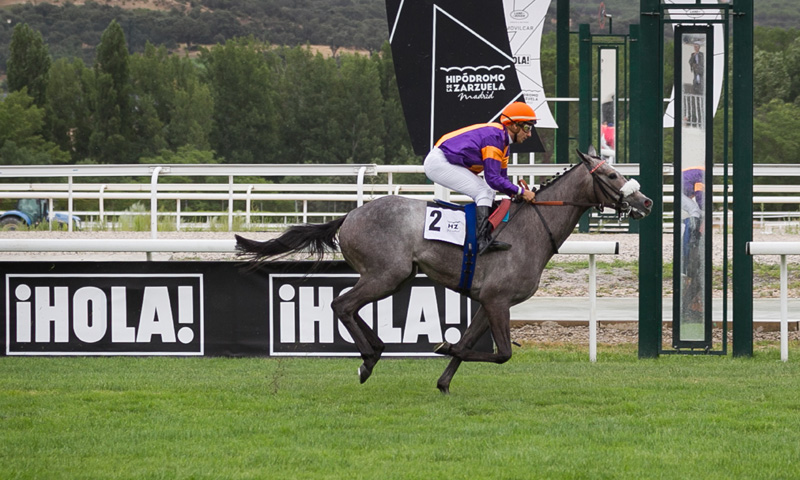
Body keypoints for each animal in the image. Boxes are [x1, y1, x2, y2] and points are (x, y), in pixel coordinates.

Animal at [236, 148, 648, 392]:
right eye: (612, 176)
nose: (645, 201)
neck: (532, 228)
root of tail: (349, 216)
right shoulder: (498, 300)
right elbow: (501, 354)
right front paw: (444, 345)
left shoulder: (489, 302)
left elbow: (468, 345)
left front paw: (444, 379)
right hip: (386, 274)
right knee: (342, 304)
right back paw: (368, 360)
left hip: (395, 277)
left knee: (350, 306)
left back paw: (376, 350)